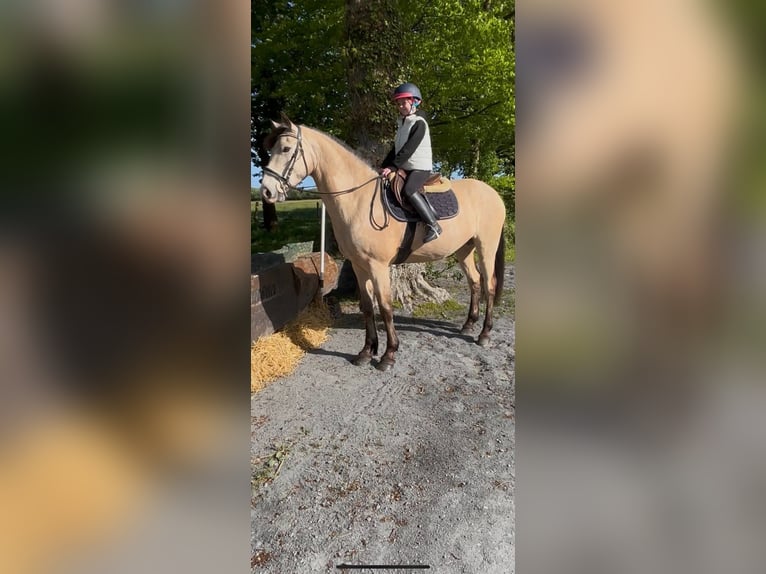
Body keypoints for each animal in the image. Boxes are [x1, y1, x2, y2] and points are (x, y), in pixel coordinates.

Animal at [260, 115, 506, 371]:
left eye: (286, 149)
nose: (266, 191)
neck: (358, 199)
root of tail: (493, 193)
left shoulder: (378, 266)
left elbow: (386, 307)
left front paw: (388, 354)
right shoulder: (359, 266)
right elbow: (368, 307)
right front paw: (366, 351)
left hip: (486, 247)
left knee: (489, 284)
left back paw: (484, 334)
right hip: (463, 250)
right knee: (475, 282)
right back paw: (469, 324)